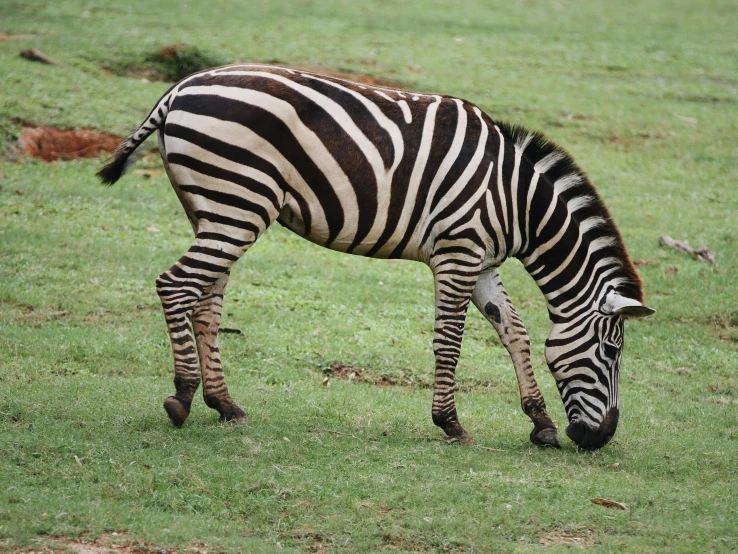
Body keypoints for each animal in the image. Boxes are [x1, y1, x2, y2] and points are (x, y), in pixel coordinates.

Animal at [96, 62, 648, 448]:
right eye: (611, 352)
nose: (600, 439)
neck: (518, 202)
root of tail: (180, 88)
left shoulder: (482, 261)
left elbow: (514, 331)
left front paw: (540, 422)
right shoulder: (457, 253)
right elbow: (450, 341)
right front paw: (450, 423)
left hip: (215, 210)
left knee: (206, 301)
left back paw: (226, 404)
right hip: (238, 204)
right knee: (176, 285)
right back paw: (184, 396)